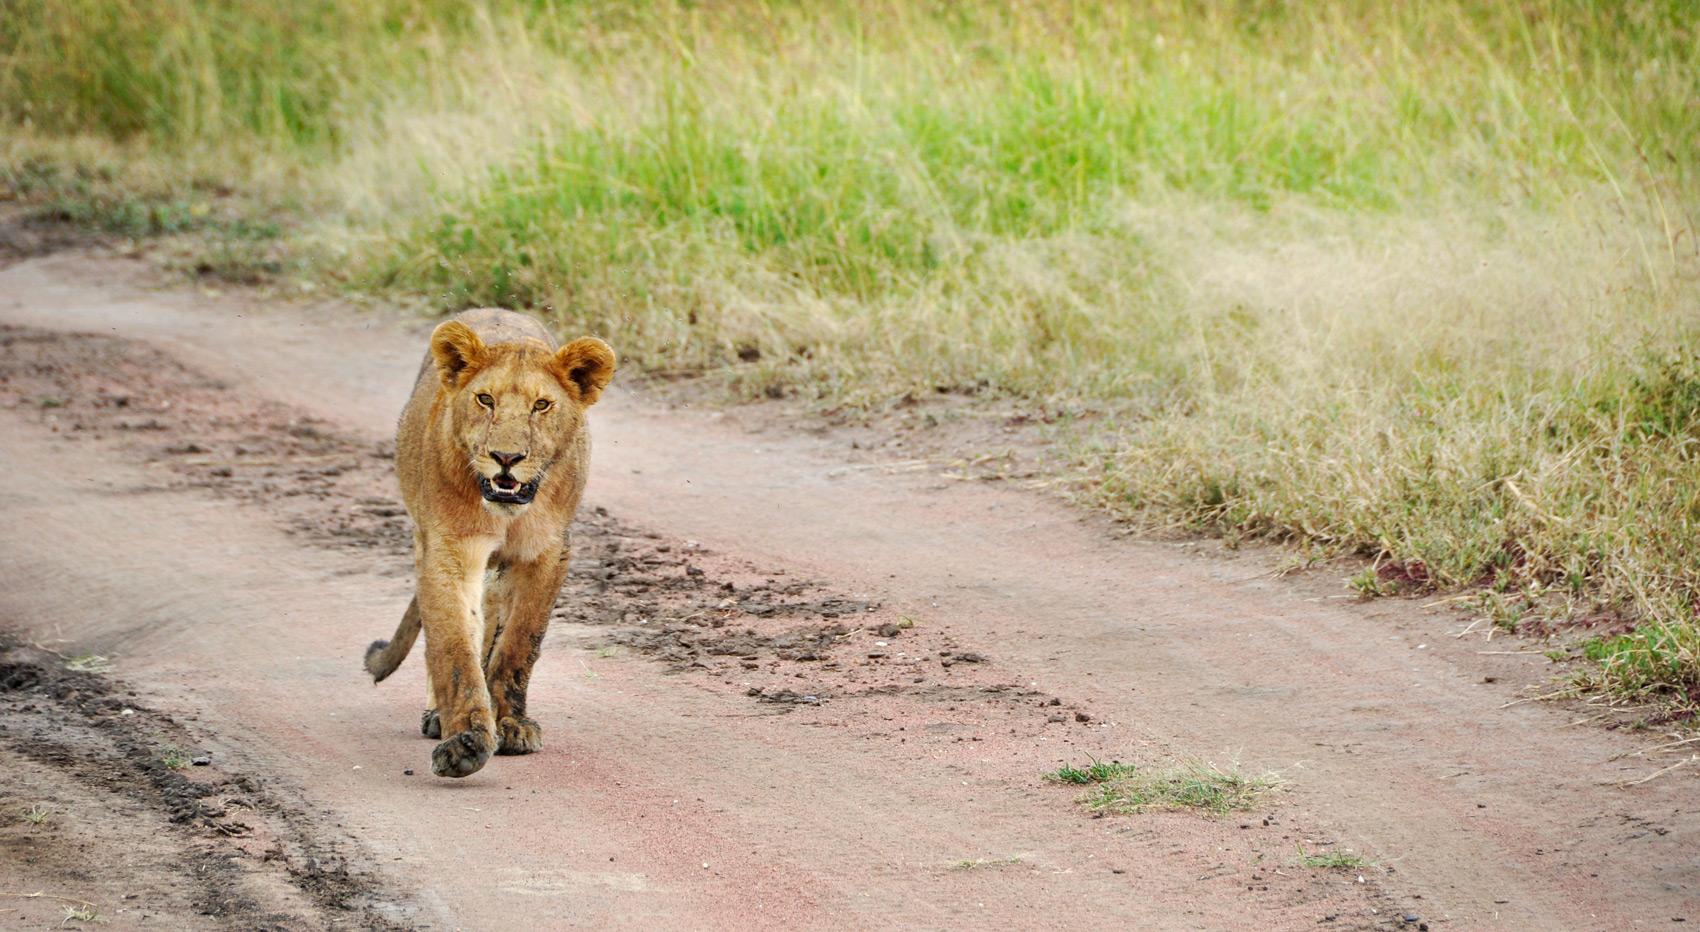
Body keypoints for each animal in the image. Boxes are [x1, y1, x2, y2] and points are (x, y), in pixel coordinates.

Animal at [362, 308, 615, 778]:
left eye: (541, 404)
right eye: (485, 400)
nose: (506, 458)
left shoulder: (547, 553)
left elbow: (519, 645)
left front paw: (512, 724)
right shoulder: (449, 549)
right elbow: (454, 648)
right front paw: (466, 740)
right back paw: (437, 715)